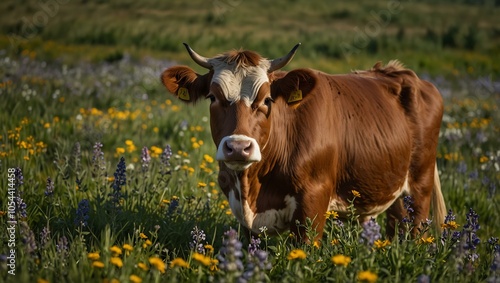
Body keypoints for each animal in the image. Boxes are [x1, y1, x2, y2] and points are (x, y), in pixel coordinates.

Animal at [162, 42, 448, 242]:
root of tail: (403, 73)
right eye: (212, 97)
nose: (239, 148)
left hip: (420, 185)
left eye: (267, 99)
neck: (254, 188)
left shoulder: (314, 201)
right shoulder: (242, 215)